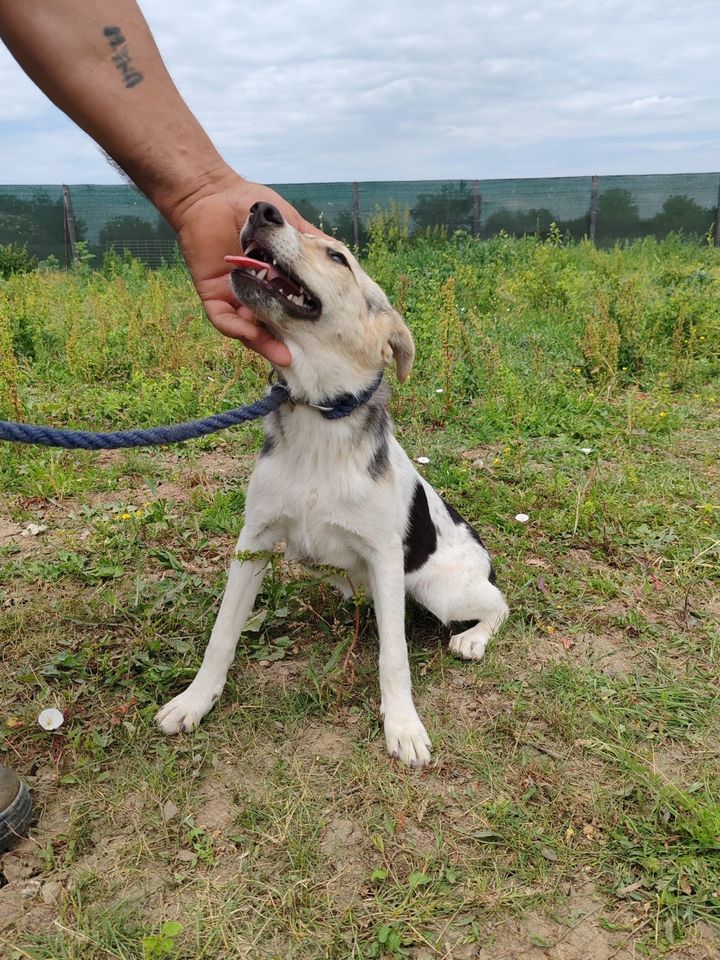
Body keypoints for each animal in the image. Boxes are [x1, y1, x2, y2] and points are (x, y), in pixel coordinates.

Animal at [155, 201, 510, 764]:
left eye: (339, 257)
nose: (261, 209)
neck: (318, 414)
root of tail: (482, 552)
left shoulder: (385, 557)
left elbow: (394, 655)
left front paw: (403, 725)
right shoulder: (254, 541)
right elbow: (222, 632)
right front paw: (196, 700)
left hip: (437, 588)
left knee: (500, 603)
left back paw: (473, 639)